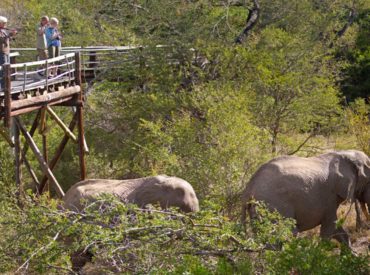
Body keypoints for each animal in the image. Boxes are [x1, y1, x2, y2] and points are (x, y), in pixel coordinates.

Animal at [241, 150, 370, 247]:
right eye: (367, 181)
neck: (344, 154)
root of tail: (249, 187)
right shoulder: (329, 197)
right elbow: (329, 227)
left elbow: (338, 229)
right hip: (273, 205)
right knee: (285, 235)